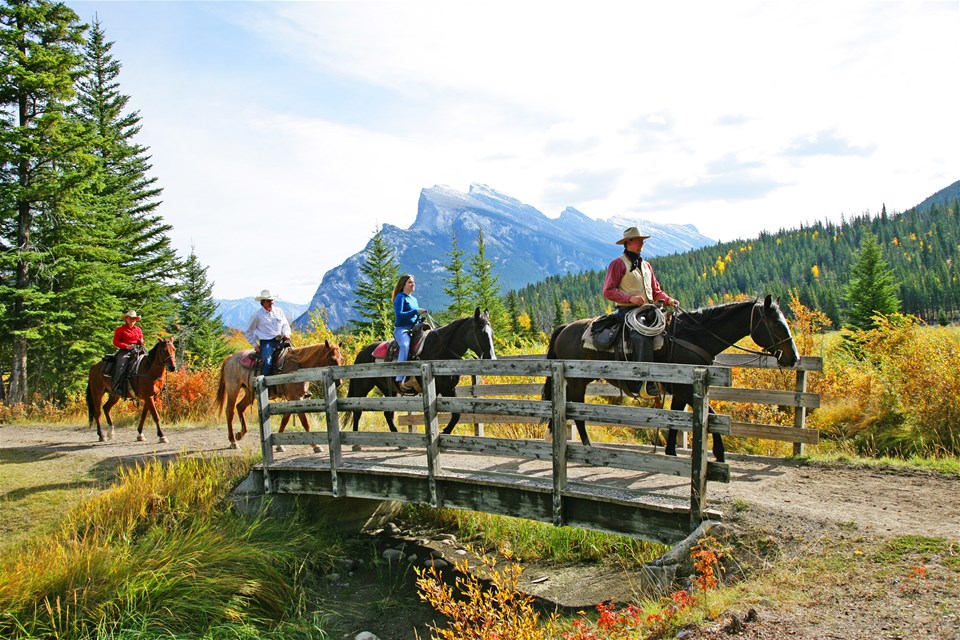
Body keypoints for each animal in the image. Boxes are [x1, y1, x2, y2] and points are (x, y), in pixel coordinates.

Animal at [215, 340, 344, 450]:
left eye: (341, 358)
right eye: (331, 359)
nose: (339, 382)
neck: (298, 366)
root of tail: (231, 358)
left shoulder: (292, 399)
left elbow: (285, 420)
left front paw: (279, 445)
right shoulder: (297, 398)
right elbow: (305, 422)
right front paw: (315, 445)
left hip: (250, 392)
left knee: (240, 407)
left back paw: (240, 434)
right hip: (233, 388)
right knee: (229, 411)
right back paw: (233, 441)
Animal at [344, 306, 496, 440]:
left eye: (492, 333)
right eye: (481, 332)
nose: (491, 358)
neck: (440, 350)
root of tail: (362, 353)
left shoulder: (449, 389)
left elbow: (456, 415)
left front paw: (445, 432)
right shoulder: (435, 389)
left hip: (388, 389)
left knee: (387, 413)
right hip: (362, 387)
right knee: (357, 411)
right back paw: (355, 441)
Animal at [544, 296, 800, 460]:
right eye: (775, 324)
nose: (793, 357)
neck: (693, 336)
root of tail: (565, 328)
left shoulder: (681, 389)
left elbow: (677, 419)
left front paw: (670, 452)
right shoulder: (686, 389)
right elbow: (710, 414)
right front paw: (719, 453)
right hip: (577, 382)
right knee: (575, 412)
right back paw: (586, 445)